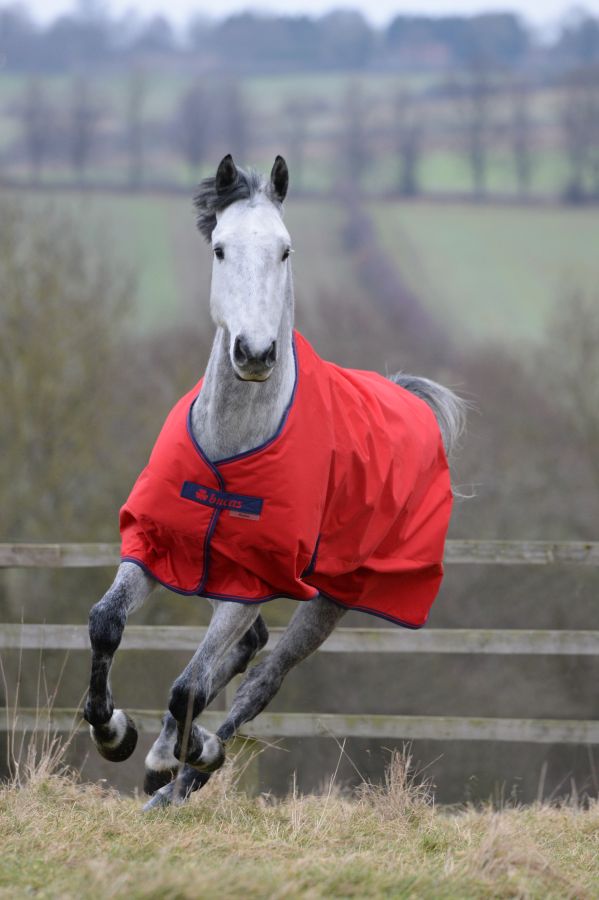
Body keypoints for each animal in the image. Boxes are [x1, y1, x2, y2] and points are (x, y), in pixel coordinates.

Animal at [83, 153, 468, 808]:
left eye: (286, 250)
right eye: (219, 248)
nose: (256, 353)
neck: (231, 448)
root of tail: (409, 398)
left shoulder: (257, 579)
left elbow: (188, 687)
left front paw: (192, 753)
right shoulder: (156, 546)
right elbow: (106, 623)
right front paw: (114, 732)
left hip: (332, 598)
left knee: (261, 678)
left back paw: (179, 777)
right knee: (246, 650)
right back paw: (163, 760)